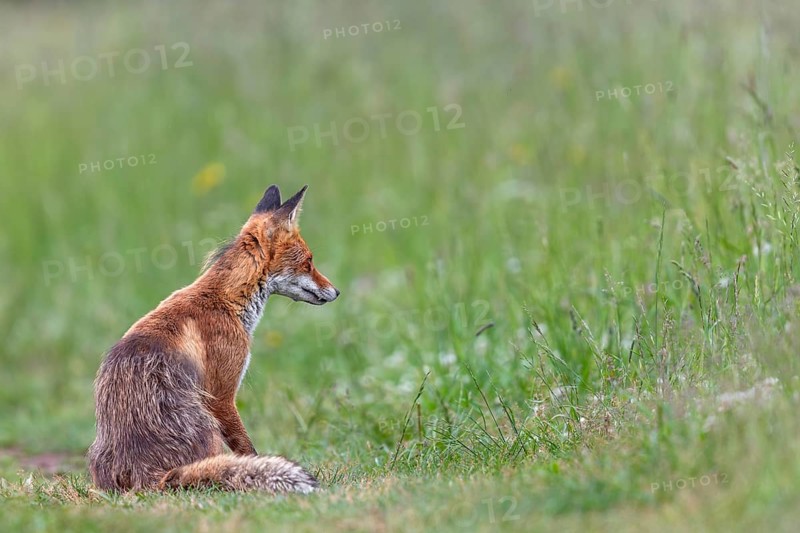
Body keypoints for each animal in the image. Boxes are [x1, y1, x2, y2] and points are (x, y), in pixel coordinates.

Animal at [87, 184, 339, 493]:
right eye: (309, 261)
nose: (336, 291)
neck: (223, 301)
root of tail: (146, 475)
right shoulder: (222, 394)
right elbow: (246, 449)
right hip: (208, 425)